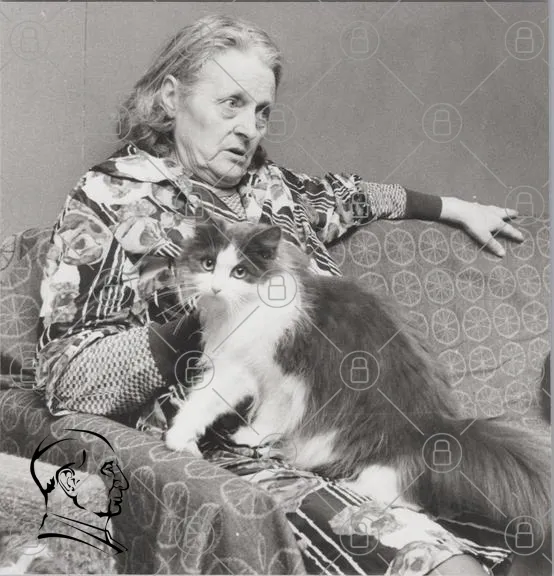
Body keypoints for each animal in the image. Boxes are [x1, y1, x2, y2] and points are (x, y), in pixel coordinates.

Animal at [165, 215, 551, 541]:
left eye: (240, 271)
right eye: (208, 264)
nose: (215, 288)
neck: (238, 313)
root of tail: (436, 430)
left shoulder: (268, 374)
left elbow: (241, 410)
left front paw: (215, 437)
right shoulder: (255, 374)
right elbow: (236, 409)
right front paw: (209, 437)